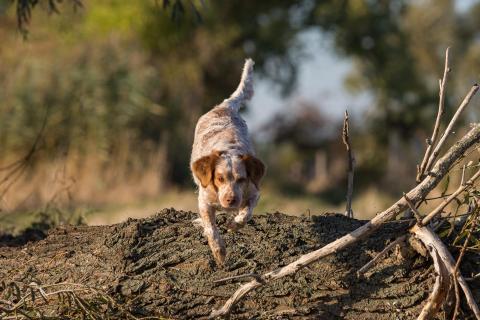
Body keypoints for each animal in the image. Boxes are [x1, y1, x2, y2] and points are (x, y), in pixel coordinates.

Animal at [190, 59, 266, 264]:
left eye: (241, 179)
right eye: (219, 178)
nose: (230, 199)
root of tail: (224, 107)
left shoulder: (253, 192)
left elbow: (246, 214)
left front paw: (234, 224)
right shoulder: (204, 201)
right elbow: (211, 227)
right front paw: (219, 251)